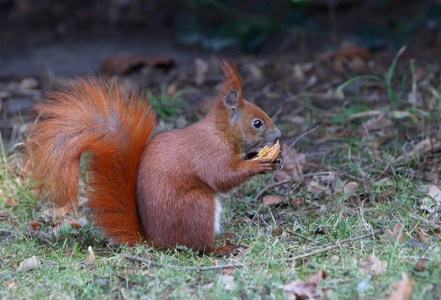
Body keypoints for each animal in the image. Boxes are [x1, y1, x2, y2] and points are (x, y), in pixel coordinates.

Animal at [27, 61, 280, 253]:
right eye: (257, 123)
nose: (278, 135)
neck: (222, 132)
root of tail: (154, 240)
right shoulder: (211, 153)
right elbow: (223, 176)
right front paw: (260, 164)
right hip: (196, 207)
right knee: (198, 247)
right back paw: (220, 248)